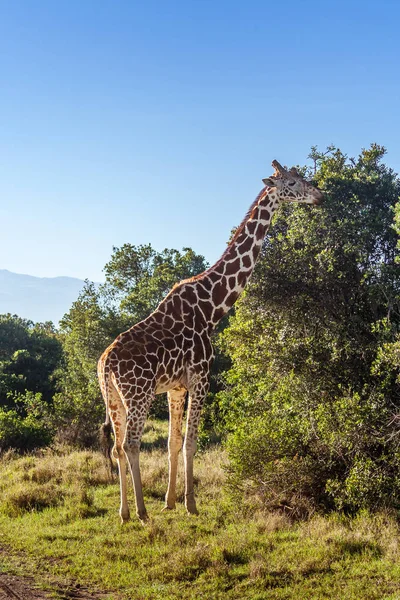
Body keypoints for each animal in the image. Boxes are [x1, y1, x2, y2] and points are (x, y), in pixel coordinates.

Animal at [98, 159, 324, 520]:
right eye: (291, 182)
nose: (318, 195)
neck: (212, 307)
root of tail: (105, 363)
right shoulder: (201, 377)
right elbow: (191, 442)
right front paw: (190, 504)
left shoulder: (176, 387)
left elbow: (173, 443)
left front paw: (170, 501)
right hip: (138, 395)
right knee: (130, 443)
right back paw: (142, 512)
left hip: (114, 399)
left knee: (117, 447)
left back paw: (124, 512)